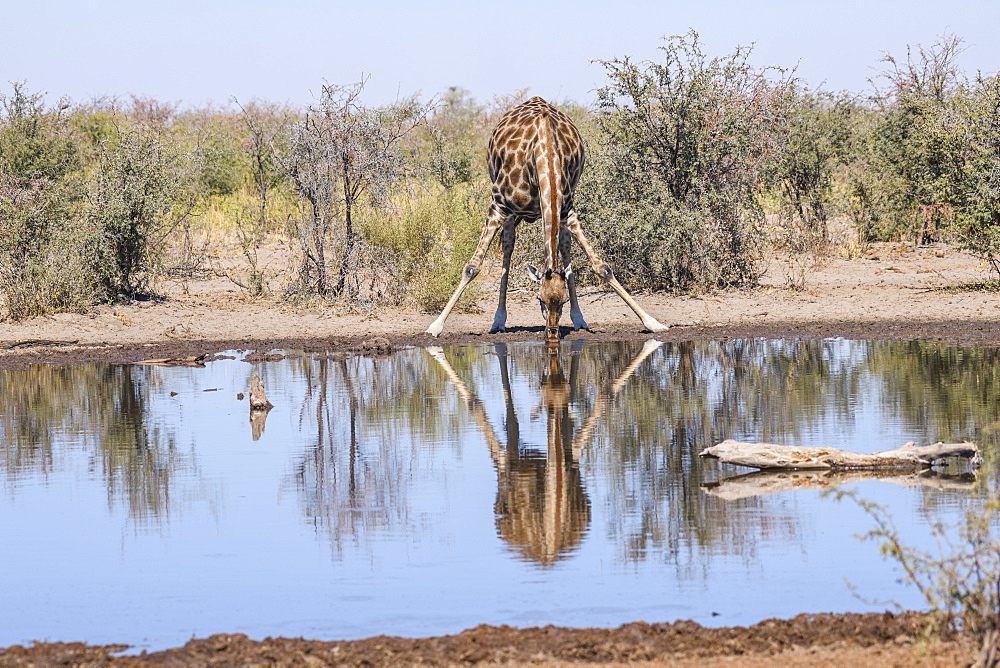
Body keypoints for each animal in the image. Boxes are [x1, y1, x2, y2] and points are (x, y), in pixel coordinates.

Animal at [426, 96, 668, 342]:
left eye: (563, 301)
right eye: (539, 299)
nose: (552, 334)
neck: (545, 154)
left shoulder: (567, 211)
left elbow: (602, 267)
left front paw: (653, 322)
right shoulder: (497, 208)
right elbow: (472, 267)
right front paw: (435, 326)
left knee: (564, 246)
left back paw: (579, 320)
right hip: (507, 209)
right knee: (507, 246)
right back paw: (498, 321)